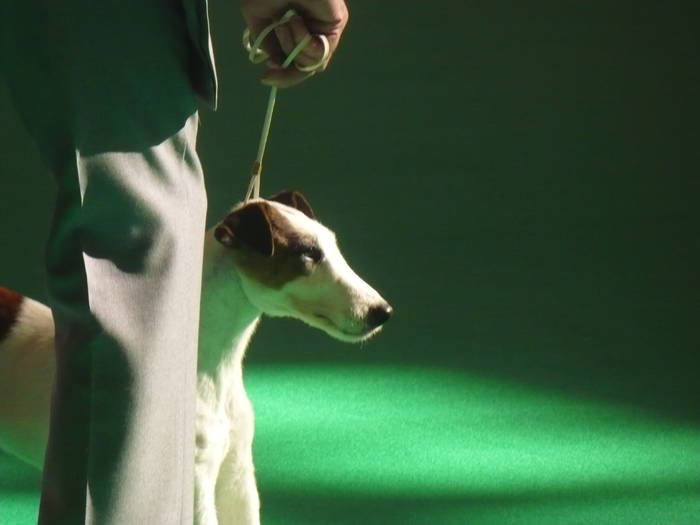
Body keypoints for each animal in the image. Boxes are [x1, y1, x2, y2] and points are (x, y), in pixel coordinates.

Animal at [0, 190, 392, 520]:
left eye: (331, 245)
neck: (211, 367)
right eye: (308, 253)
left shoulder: (236, 471)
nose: (382, 311)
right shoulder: (194, 480)